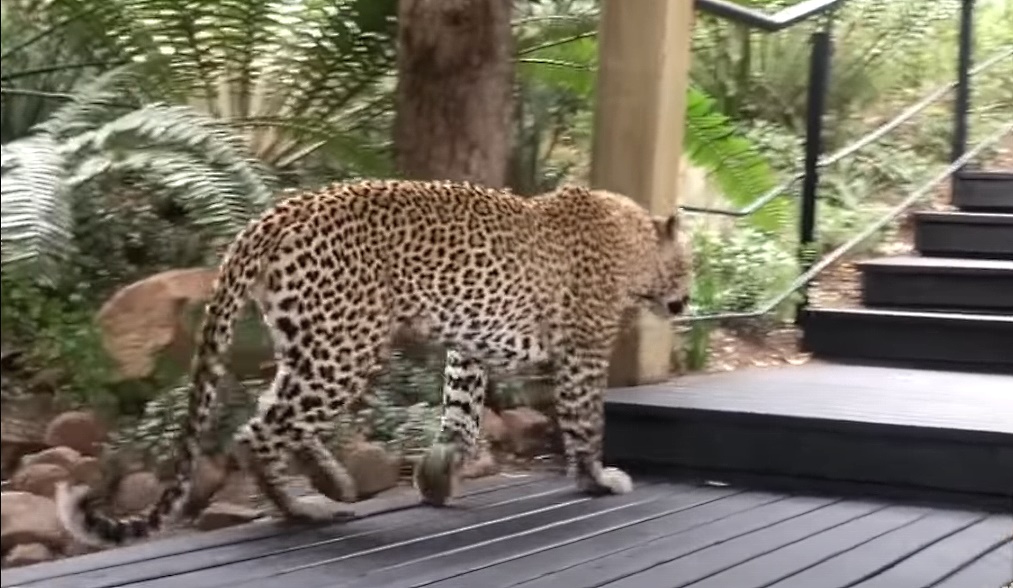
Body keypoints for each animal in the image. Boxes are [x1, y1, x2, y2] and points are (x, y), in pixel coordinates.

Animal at [53, 178, 688, 547]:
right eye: (688, 264)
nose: (689, 300)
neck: (633, 241)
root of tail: (278, 212)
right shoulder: (584, 351)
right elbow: (586, 419)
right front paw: (597, 478)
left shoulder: (468, 344)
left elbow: (461, 411)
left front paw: (439, 475)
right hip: (344, 349)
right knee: (257, 431)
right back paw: (303, 508)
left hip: (310, 341)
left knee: (276, 415)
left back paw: (328, 479)